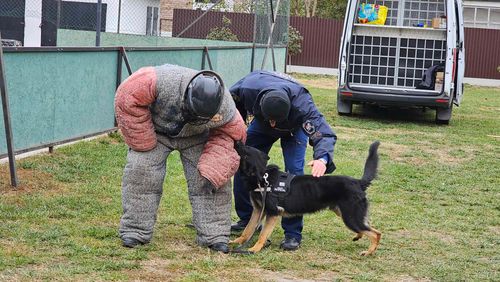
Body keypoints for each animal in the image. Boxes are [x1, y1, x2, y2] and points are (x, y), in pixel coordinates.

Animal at [232, 141, 380, 256]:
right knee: (368, 227)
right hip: (345, 214)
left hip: (350, 218)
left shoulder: (273, 213)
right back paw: (359, 237)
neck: (263, 177)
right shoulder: (258, 210)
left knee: (376, 233)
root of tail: (358, 182)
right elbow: (248, 229)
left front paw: (254, 249)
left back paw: (368, 252)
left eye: (244, 150)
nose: (237, 141)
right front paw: (236, 242)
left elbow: (262, 235)